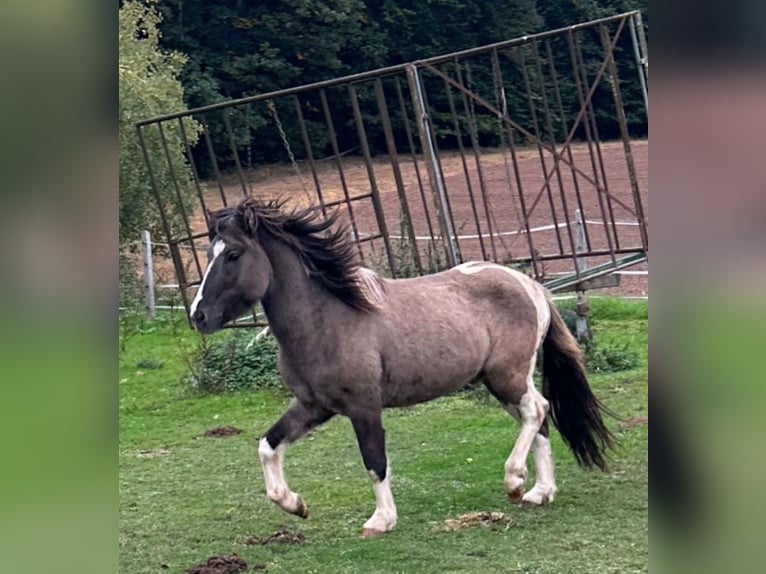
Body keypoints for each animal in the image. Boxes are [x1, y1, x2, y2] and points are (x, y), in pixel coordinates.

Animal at [189, 196, 613, 538]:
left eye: (233, 255)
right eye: (210, 254)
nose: (198, 316)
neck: (329, 320)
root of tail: (530, 285)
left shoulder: (363, 405)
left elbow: (374, 460)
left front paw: (381, 521)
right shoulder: (313, 406)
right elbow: (267, 445)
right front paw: (295, 504)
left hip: (506, 376)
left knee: (536, 410)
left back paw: (514, 481)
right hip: (503, 382)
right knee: (538, 417)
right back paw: (540, 492)